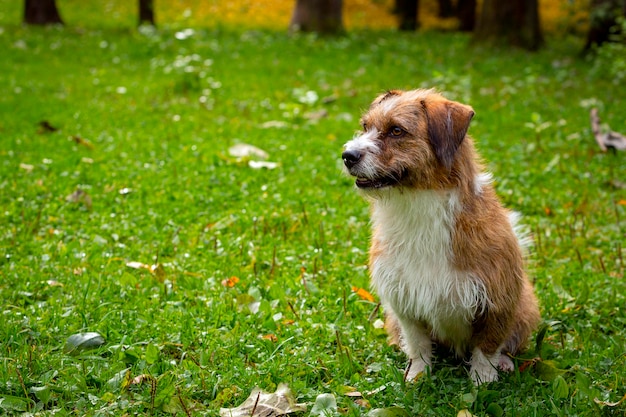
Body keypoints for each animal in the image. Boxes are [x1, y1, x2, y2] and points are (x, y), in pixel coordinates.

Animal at [338, 88, 540, 384]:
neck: (416, 205)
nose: (347, 155)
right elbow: (419, 344)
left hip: (526, 307)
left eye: (396, 130)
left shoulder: (497, 299)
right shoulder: (404, 301)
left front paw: (483, 380)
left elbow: (488, 345)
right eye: (365, 127)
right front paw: (418, 375)